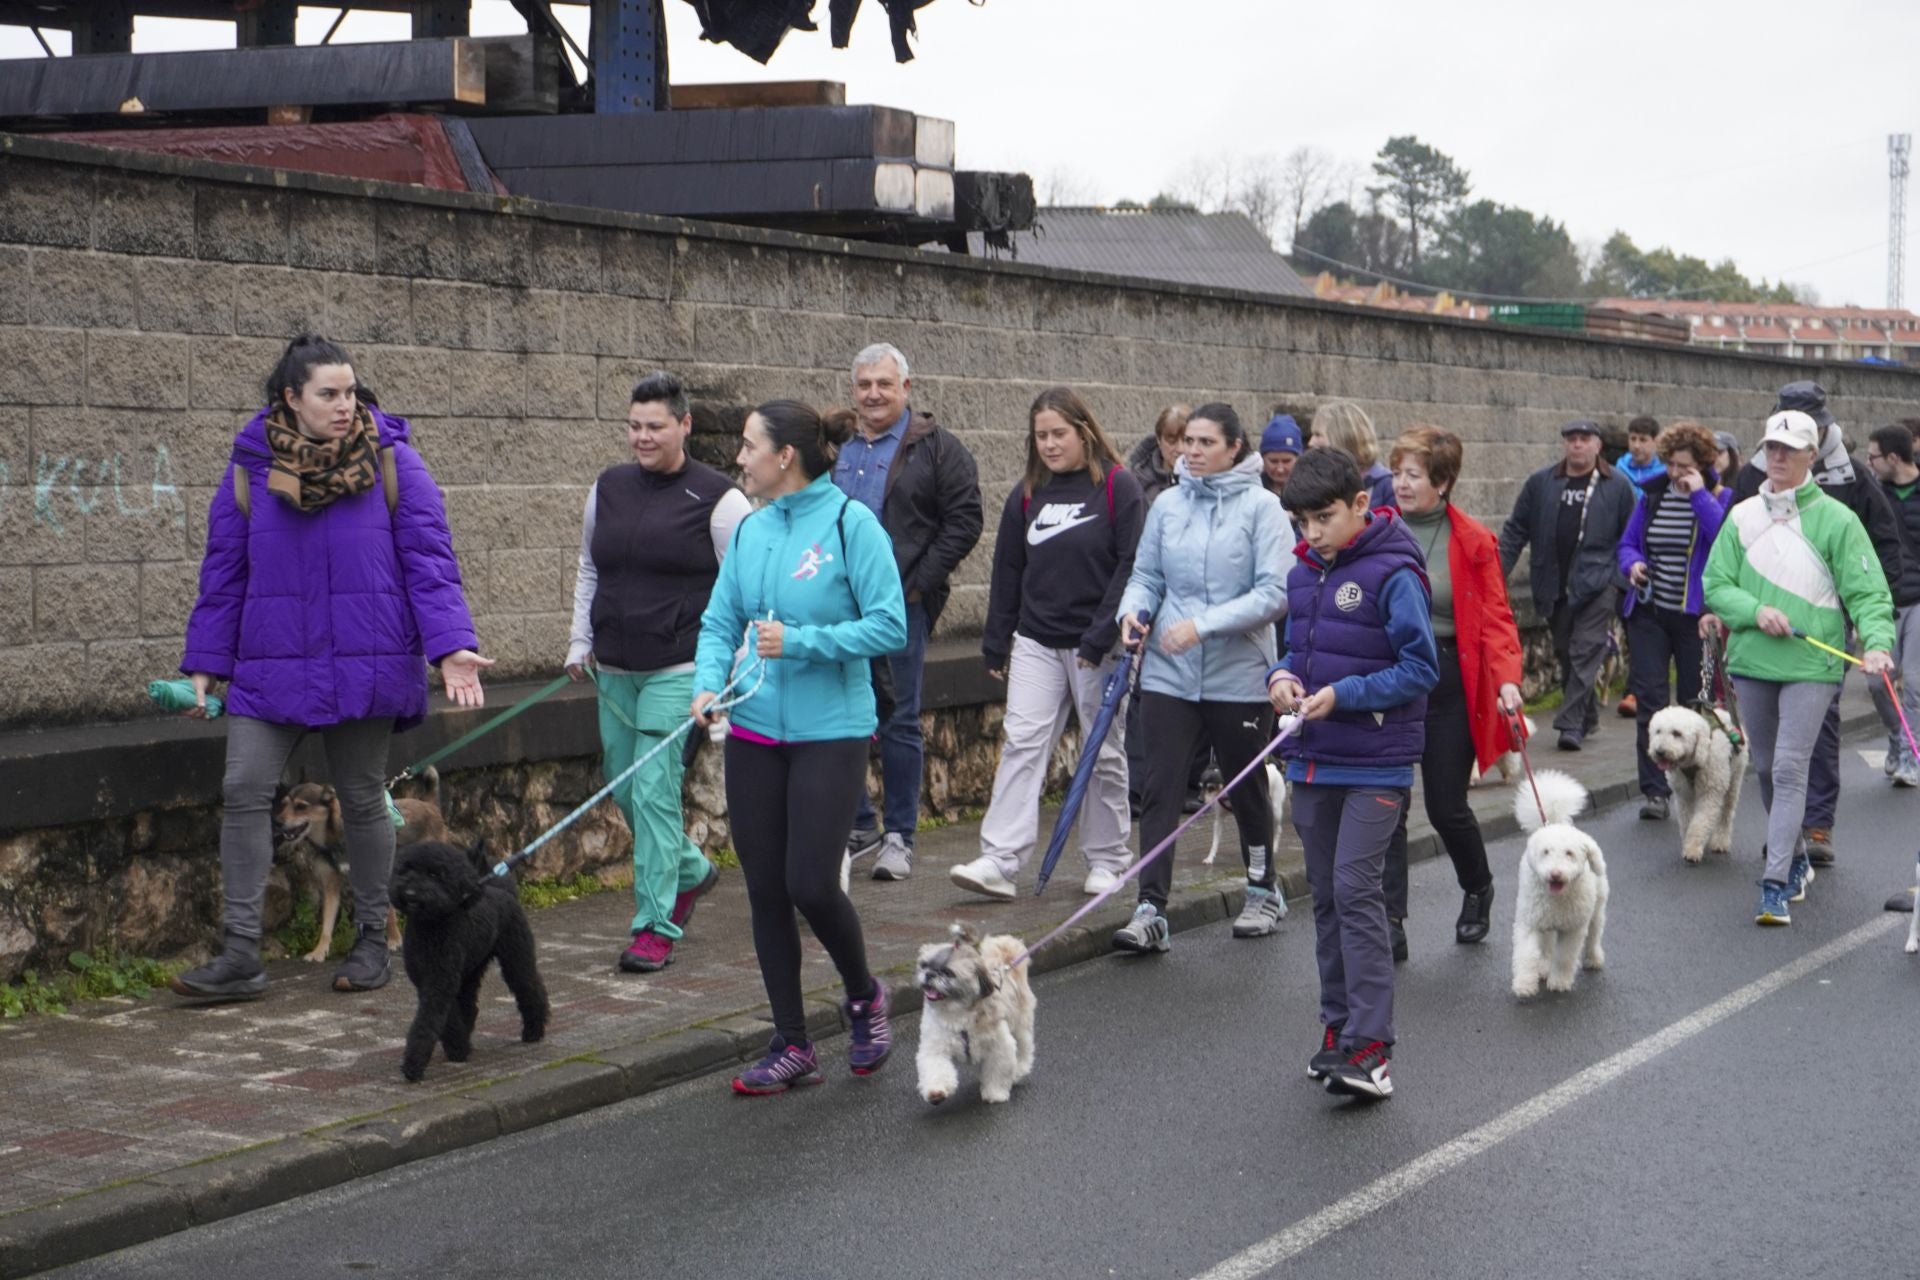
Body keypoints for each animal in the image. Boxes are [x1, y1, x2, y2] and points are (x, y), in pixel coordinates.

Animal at [276, 771, 447, 959]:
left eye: (301, 806)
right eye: (283, 804)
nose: (277, 822)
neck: (333, 836)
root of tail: (429, 805)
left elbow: (389, 914)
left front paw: (394, 940)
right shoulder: (331, 886)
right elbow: (327, 923)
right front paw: (319, 951)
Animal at [391, 840, 552, 1082]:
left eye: (434, 874)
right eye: (406, 869)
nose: (409, 893)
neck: (430, 927)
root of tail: (504, 891)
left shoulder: (440, 981)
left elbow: (429, 1020)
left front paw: (415, 1064)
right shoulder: (426, 980)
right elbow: (446, 1018)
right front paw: (458, 1048)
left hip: (516, 959)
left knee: (530, 989)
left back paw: (534, 1031)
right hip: (471, 970)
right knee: (470, 1006)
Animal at [910, 921, 1036, 1113]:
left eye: (948, 973)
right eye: (924, 965)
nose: (929, 974)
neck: (958, 1012)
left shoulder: (999, 1045)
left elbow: (998, 1070)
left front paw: (995, 1093)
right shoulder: (935, 1046)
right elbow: (936, 1068)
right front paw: (935, 1093)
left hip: (1020, 1023)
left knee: (1024, 1047)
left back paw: (1019, 1070)